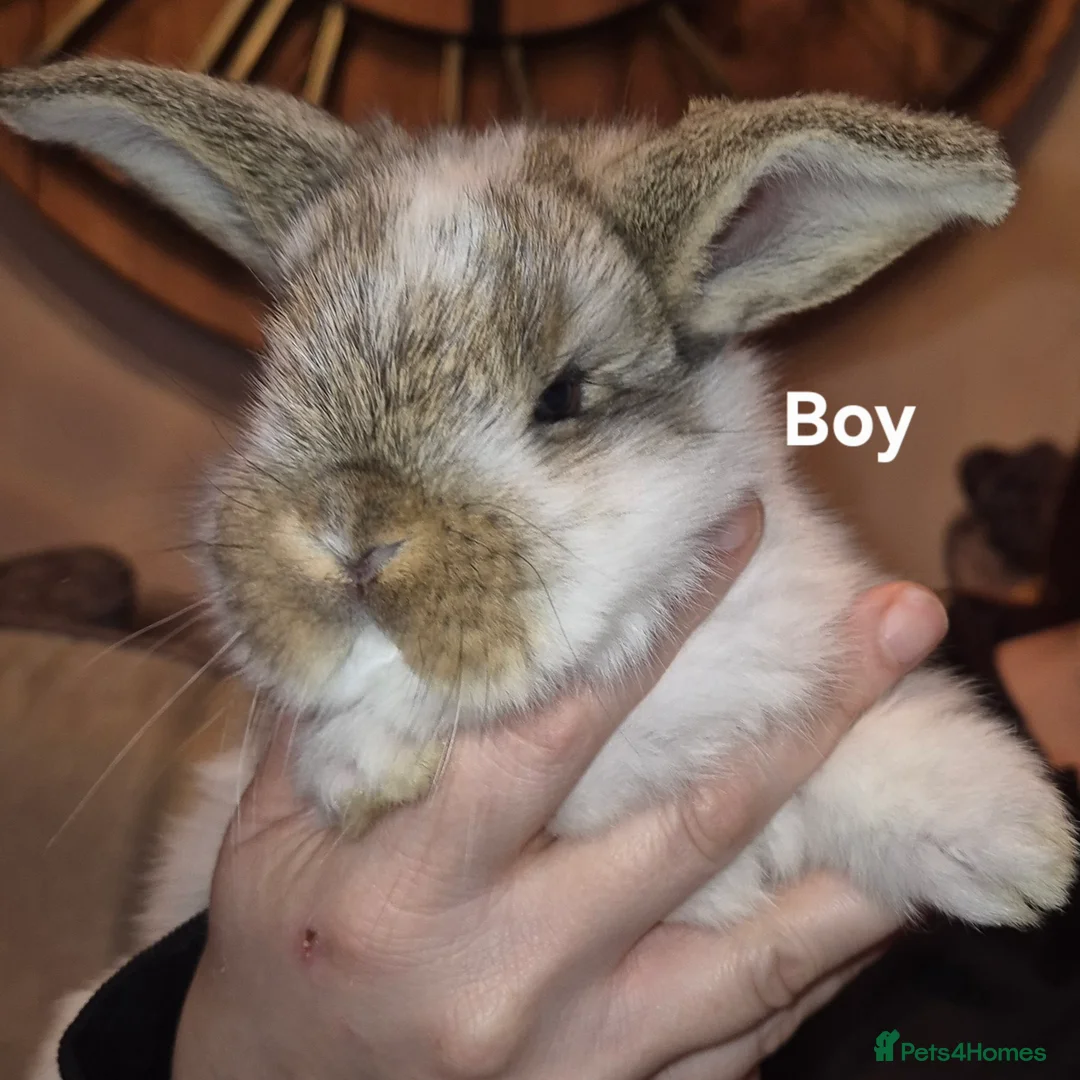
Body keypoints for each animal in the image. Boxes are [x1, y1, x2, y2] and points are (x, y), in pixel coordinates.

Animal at [3, 59, 1076, 1077]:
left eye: (562, 396)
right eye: (274, 378)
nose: (354, 540)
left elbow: (864, 748)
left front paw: (1016, 847)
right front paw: (366, 773)